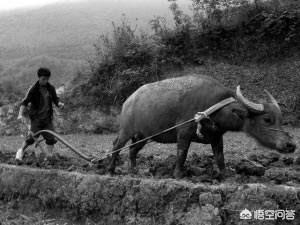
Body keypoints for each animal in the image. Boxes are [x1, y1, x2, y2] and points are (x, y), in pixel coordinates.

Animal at [108, 74, 296, 178]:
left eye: (281, 119)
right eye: (267, 119)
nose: (291, 145)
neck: (215, 107)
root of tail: (128, 101)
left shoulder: (217, 136)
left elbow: (220, 156)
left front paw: (225, 174)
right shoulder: (183, 133)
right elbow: (182, 154)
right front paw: (178, 174)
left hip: (143, 136)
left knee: (132, 150)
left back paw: (134, 170)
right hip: (126, 131)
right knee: (116, 146)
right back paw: (110, 170)